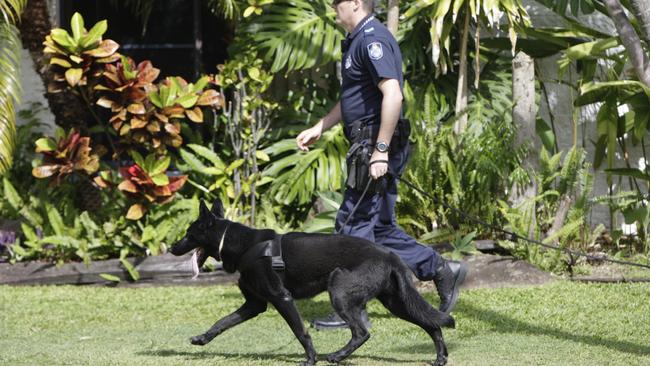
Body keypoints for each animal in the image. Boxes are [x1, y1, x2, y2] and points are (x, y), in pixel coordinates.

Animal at [168, 200, 450, 366]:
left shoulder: (282, 298)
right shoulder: (254, 305)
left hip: (339, 292)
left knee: (362, 332)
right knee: (432, 324)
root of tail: (389, 255)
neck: (244, 245)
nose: (170, 248)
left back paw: (336, 356)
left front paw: (311, 359)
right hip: (395, 302)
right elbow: (223, 322)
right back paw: (441, 357)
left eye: (188, 234)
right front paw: (202, 338)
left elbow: (300, 332)